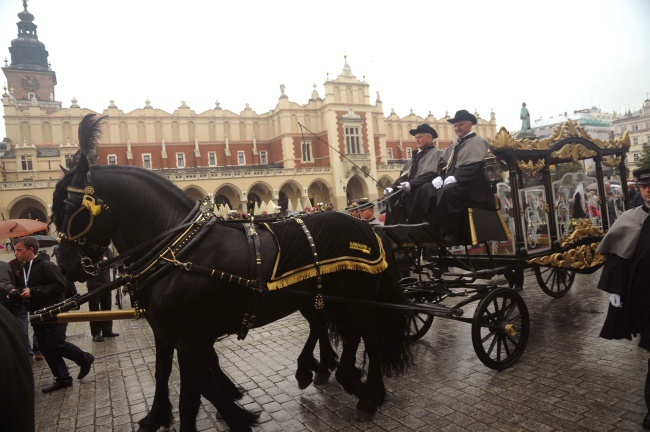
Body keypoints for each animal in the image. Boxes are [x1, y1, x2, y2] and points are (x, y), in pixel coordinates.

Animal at [53, 114, 410, 432]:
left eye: (70, 210)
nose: (65, 266)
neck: (178, 250)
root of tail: (364, 224)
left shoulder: (191, 338)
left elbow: (191, 395)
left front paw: (230, 412)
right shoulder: (167, 333)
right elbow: (166, 374)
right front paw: (161, 416)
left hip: (358, 297)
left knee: (371, 337)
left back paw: (367, 395)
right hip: (326, 298)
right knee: (343, 333)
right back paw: (336, 375)